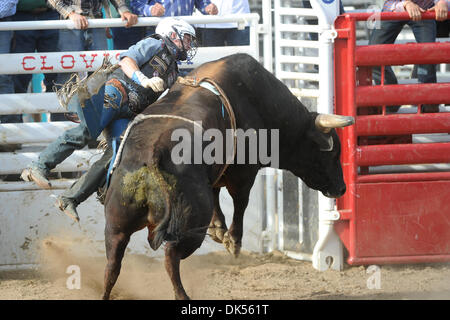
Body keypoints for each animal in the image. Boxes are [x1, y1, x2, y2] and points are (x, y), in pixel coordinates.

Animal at [99, 53, 356, 300]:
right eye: (332, 152)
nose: (341, 188)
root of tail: (153, 156)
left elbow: (217, 197)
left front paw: (219, 230)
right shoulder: (244, 173)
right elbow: (240, 203)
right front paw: (233, 241)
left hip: (117, 222)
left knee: (113, 263)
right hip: (190, 224)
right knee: (171, 255)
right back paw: (182, 294)